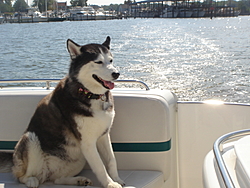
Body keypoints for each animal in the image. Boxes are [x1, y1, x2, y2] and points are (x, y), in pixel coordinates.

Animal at [0, 36, 125, 188]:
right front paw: (110, 184)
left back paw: (78, 180)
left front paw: (117, 179)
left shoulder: (103, 135)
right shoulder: (87, 143)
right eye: (98, 62)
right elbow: (100, 166)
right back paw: (31, 180)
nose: (116, 74)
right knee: (22, 176)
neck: (89, 94)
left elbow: (111, 160)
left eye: (111, 60)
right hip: (30, 139)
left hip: (78, 158)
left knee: (57, 179)